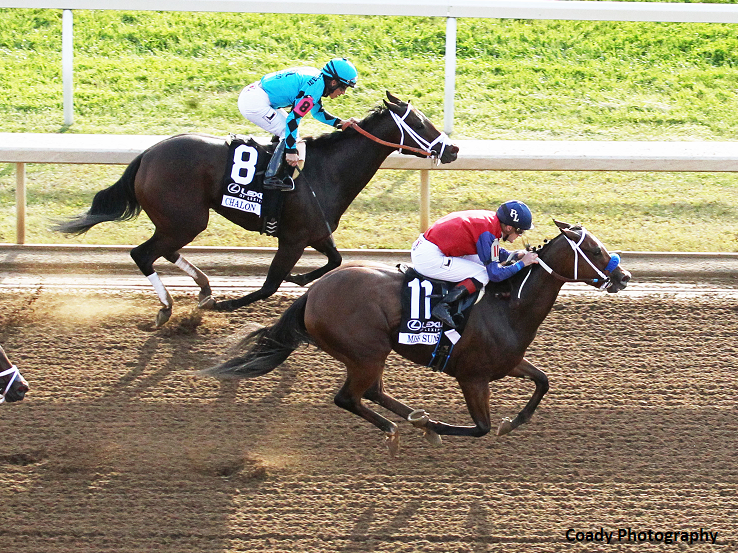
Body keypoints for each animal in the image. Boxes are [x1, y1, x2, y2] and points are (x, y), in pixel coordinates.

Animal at [54, 90, 454, 324]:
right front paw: (228, 305)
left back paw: (203, 289)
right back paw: (170, 306)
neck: (328, 170)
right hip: (187, 219)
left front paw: (299, 279)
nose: (452, 149)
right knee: (144, 253)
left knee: (163, 251)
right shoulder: (292, 240)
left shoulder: (315, 233)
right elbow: (269, 285)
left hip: (179, 220)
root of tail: (146, 155)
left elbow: (334, 261)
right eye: (420, 123)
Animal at [200, 220, 628, 452]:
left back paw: (410, 420)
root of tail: (314, 293)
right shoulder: (472, 376)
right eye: (592, 249)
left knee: (372, 392)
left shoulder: (507, 363)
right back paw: (399, 430)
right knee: (348, 398)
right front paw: (433, 427)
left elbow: (543, 382)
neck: (508, 304)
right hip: (366, 352)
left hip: (370, 354)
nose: (623, 276)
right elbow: (480, 427)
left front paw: (513, 422)